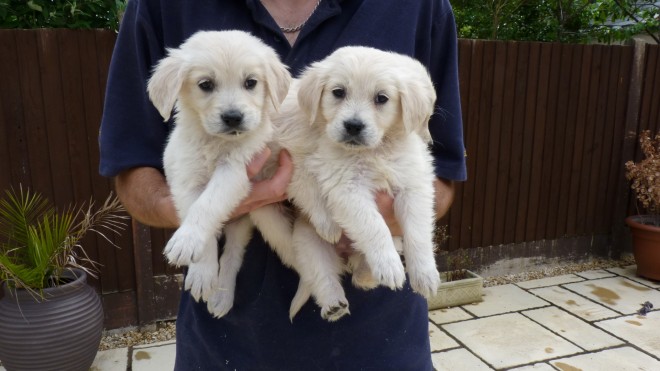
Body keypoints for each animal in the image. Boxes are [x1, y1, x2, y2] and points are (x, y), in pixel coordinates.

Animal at [150, 30, 296, 318]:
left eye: (251, 82)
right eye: (205, 84)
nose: (233, 117)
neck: (216, 143)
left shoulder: (236, 169)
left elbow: (207, 205)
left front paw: (187, 242)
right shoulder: (187, 180)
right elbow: (196, 210)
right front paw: (201, 272)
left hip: (247, 220)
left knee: (233, 254)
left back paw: (222, 296)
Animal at [276, 46, 440, 322]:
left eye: (381, 98)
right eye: (338, 92)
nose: (353, 126)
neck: (375, 151)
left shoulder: (413, 186)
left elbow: (417, 233)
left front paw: (425, 274)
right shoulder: (347, 189)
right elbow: (374, 226)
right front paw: (388, 264)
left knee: (362, 275)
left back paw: (370, 272)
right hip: (308, 240)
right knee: (323, 274)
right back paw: (334, 304)